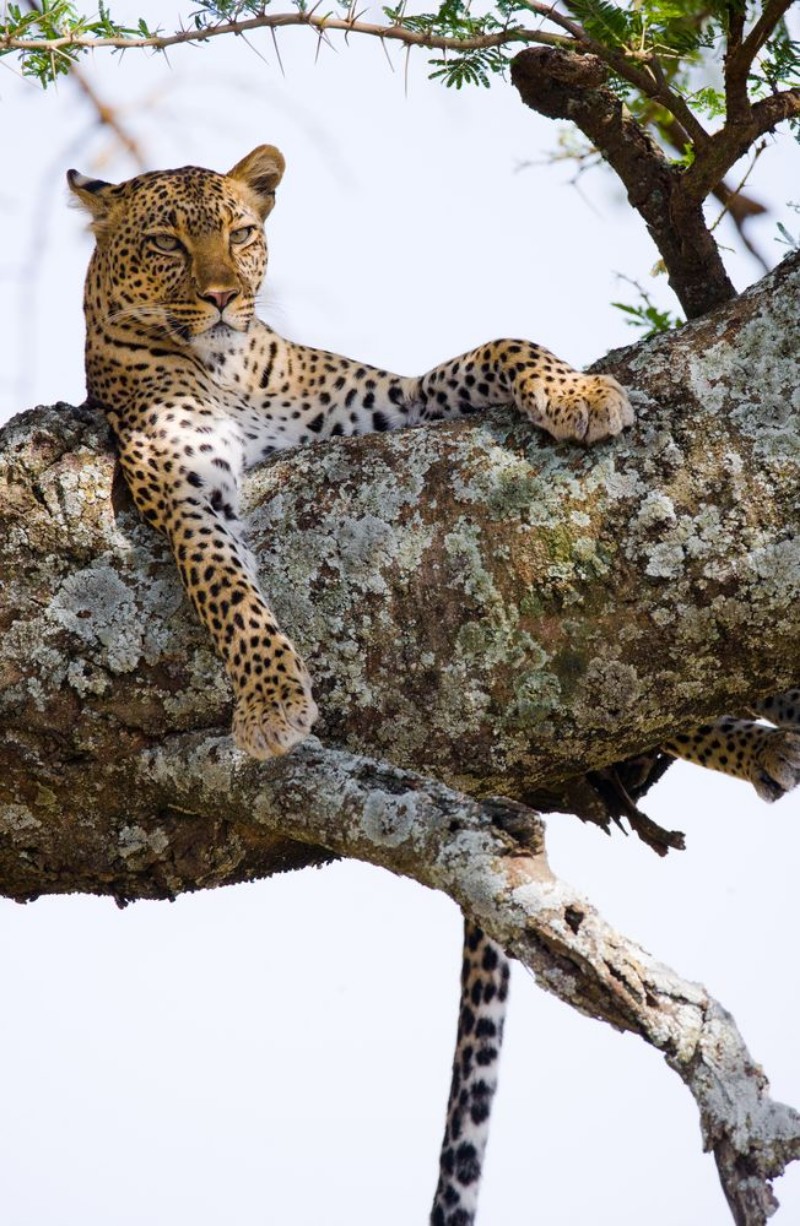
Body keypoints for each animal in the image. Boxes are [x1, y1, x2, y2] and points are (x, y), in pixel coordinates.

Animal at [68, 146, 800, 1226]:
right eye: (165, 242)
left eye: (239, 233)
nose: (226, 293)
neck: (227, 363)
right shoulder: (180, 479)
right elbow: (226, 587)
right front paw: (273, 701)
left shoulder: (381, 404)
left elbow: (500, 343)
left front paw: (579, 395)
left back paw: (763, 732)